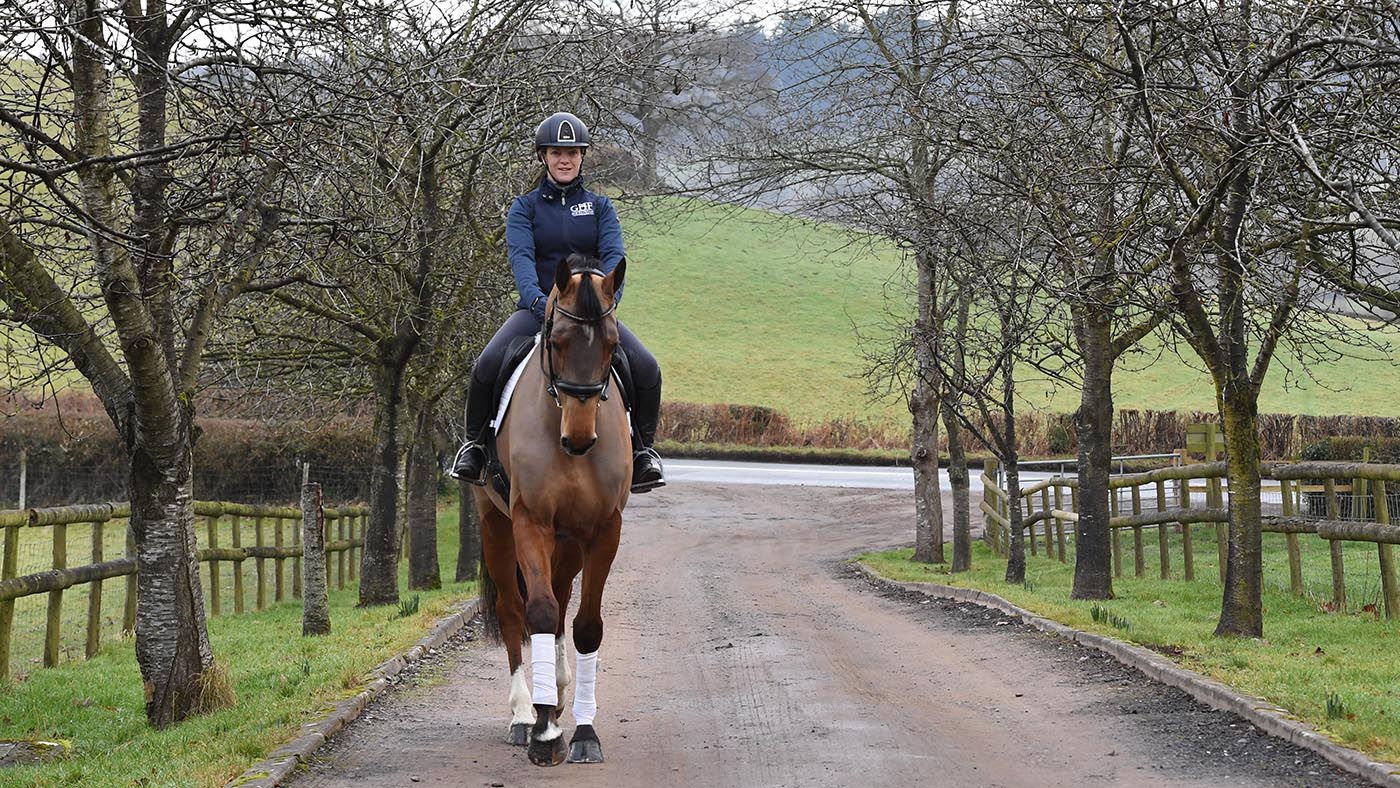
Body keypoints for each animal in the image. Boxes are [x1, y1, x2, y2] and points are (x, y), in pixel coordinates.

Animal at [476, 256, 635, 767]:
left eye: (612, 345)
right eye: (558, 341)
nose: (580, 439)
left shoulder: (604, 530)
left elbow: (585, 626)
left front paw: (584, 731)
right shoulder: (531, 522)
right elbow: (540, 612)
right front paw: (545, 733)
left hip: (568, 543)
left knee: (565, 598)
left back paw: (560, 693)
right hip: (495, 526)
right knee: (513, 609)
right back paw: (525, 712)